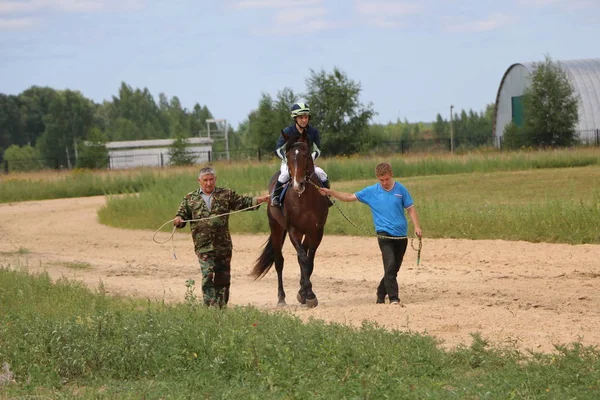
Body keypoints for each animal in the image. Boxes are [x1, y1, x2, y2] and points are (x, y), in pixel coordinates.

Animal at [251, 128, 330, 306]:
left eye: (306, 155)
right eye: (288, 156)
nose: (297, 184)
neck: (304, 198)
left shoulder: (316, 230)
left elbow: (309, 260)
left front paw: (305, 293)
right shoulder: (293, 230)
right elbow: (302, 258)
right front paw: (309, 294)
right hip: (276, 227)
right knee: (279, 261)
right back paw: (281, 298)